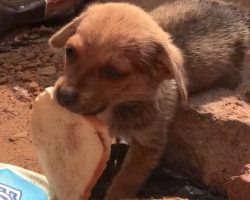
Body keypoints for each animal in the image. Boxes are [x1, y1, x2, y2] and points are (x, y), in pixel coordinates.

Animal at [48, 0, 248, 199]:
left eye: (114, 72)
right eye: (70, 51)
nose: (63, 96)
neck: (117, 105)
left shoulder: (148, 145)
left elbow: (124, 182)